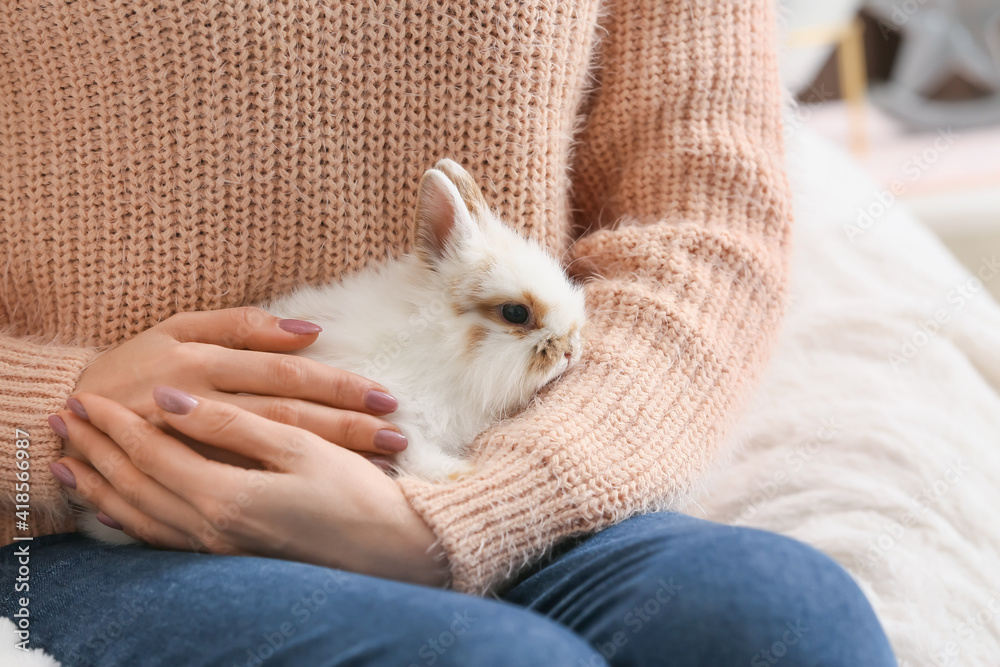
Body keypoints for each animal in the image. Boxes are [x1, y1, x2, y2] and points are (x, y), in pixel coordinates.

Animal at [86, 159, 588, 544]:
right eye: (516, 313)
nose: (571, 351)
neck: (438, 344)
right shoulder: (396, 412)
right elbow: (414, 450)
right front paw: (456, 476)